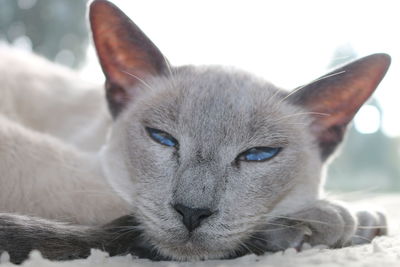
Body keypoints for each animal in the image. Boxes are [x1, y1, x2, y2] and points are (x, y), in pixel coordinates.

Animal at [0, 0, 390, 264]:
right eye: (162, 138)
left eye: (258, 155)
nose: (192, 212)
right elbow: (122, 207)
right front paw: (339, 218)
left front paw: (364, 220)